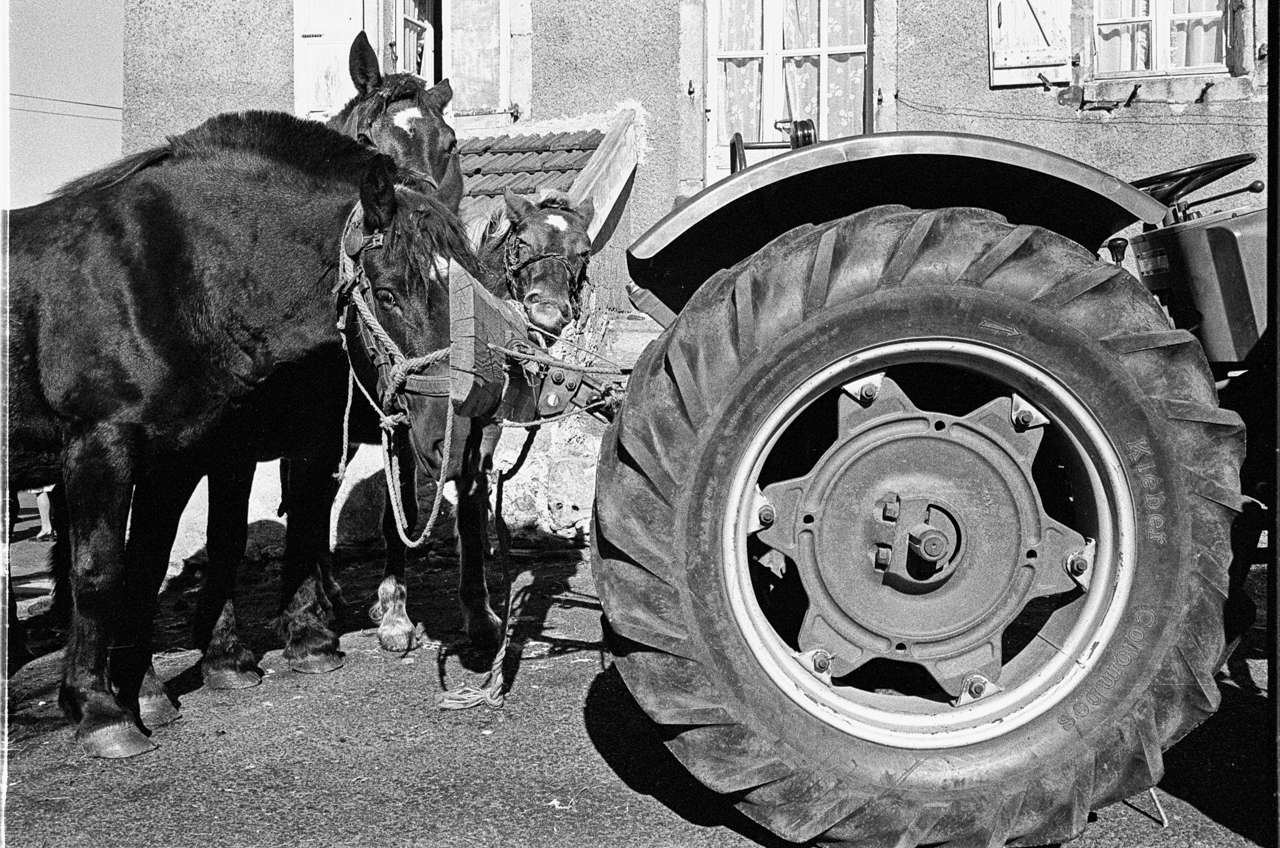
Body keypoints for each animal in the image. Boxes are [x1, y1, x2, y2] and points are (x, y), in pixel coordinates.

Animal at [7, 111, 486, 758]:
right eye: (387, 294)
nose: (454, 438)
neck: (165, 272)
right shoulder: (102, 445)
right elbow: (101, 569)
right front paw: (101, 708)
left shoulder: (176, 455)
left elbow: (152, 563)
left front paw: (146, 693)